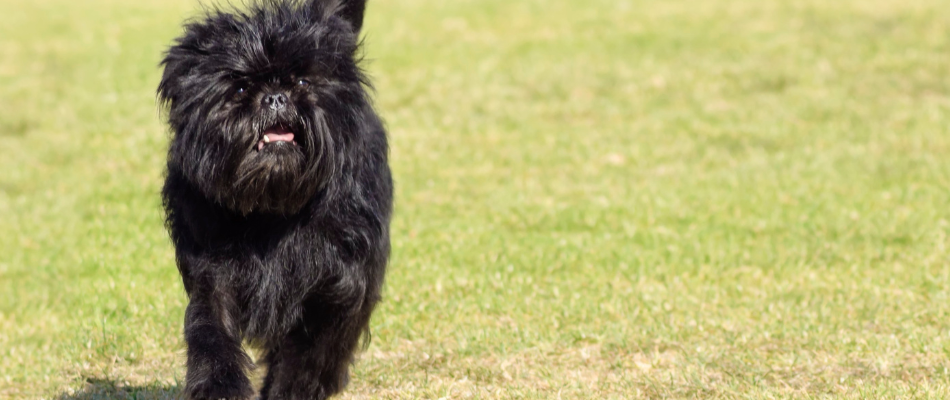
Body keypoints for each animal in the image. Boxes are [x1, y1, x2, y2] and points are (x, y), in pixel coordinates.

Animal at [158, 1, 392, 398]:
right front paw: (218, 384)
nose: (275, 97)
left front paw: (292, 389)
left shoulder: (338, 283)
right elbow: (210, 330)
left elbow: (311, 351)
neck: (271, 210)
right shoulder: (212, 274)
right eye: (239, 88)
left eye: (301, 82)